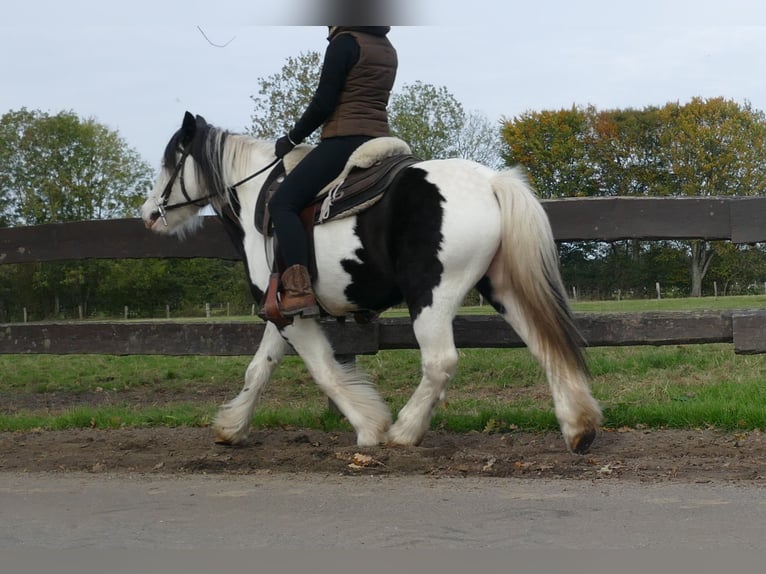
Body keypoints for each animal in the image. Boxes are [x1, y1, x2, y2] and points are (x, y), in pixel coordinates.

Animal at [141, 111, 604, 454]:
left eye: (169, 161)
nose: (148, 215)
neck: (260, 198)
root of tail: (492, 182)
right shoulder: (281, 311)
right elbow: (259, 368)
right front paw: (232, 428)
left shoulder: (294, 316)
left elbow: (325, 371)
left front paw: (370, 426)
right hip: (503, 289)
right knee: (546, 345)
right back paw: (578, 426)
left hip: (431, 295)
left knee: (440, 363)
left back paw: (405, 430)